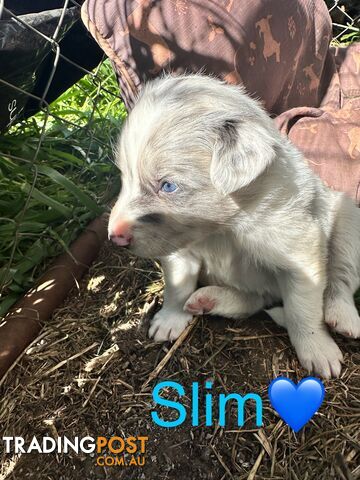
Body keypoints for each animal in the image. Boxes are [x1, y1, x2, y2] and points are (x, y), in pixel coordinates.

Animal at [109, 74, 360, 378]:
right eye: (125, 177)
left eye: (168, 186)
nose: (114, 236)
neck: (224, 230)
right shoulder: (179, 252)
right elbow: (177, 288)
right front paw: (170, 319)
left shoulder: (301, 259)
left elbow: (303, 311)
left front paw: (317, 350)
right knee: (254, 301)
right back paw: (210, 299)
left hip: (348, 221)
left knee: (340, 279)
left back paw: (342, 316)